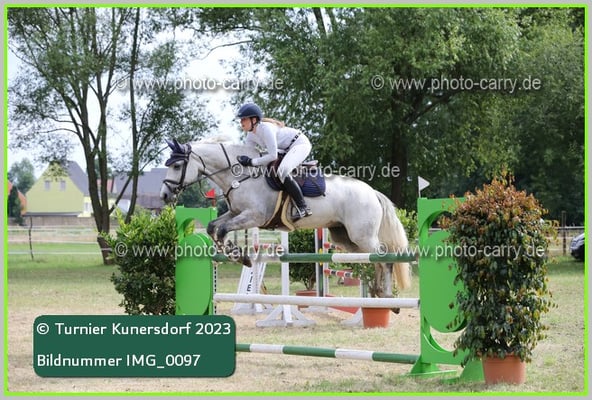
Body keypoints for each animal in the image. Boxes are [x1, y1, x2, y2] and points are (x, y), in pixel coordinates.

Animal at [160, 137, 411, 299]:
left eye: (178, 165)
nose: (164, 195)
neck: (241, 175)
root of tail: (372, 192)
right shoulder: (236, 213)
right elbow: (213, 227)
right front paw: (236, 254)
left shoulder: (254, 216)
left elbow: (222, 230)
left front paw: (240, 257)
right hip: (345, 238)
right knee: (374, 258)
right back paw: (376, 291)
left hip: (362, 235)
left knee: (384, 256)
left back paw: (386, 295)